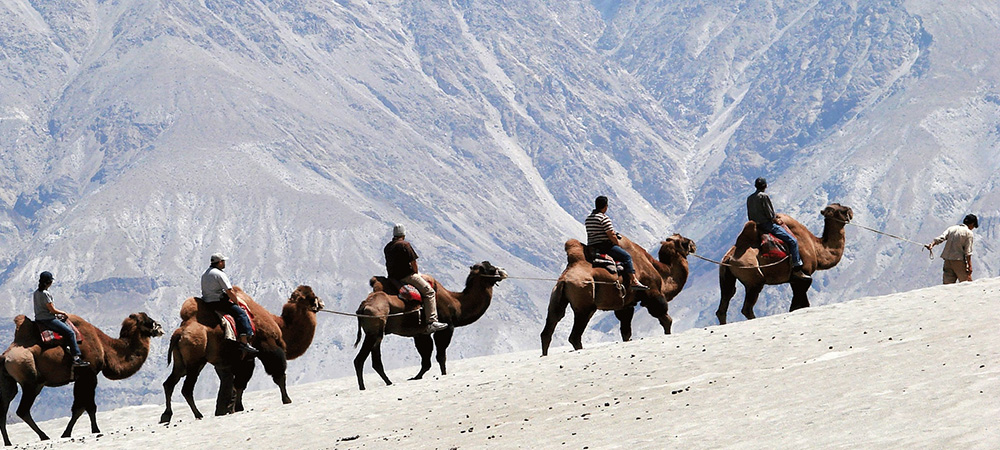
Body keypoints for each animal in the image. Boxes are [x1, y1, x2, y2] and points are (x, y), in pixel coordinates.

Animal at [0, 312, 164, 446]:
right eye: (148, 320)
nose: (160, 328)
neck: (103, 346)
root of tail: (5, 356)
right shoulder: (89, 374)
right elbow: (88, 406)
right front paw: (95, 430)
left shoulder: (80, 378)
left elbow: (78, 408)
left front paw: (66, 433)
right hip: (31, 381)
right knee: (22, 410)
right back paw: (43, 436)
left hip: (10, 383)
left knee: (5, 406)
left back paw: (8, 442)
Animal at [160, 286, 322, 424]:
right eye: (311, 297)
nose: (321, 303)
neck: (280, 325)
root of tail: (180, 331)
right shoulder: (267, 347)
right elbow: (277, 374)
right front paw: (287, 399)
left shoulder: (244, 359)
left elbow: (238, 385)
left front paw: (236, 408)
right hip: (195, 361)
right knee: (186, 388)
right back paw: (198, 414)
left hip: (180, 362)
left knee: (169, 383)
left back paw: (166, 416)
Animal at [354, 262, 508, 388]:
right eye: (491, 269)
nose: (504, 271)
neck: (456, 303)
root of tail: (363, 306)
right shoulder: (447, 327)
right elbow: (441, 356)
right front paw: (443, 374)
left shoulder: (421, 333)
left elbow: (426, 360)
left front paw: (415, 377)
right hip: (373, 331)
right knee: (359, 360)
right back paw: (364, 387)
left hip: (377, 333)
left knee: (375, 361)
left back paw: (388, 382)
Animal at [540, 234, 696, 356]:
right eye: (683, 240)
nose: (693, 244)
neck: (662, 274)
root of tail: (565, 277)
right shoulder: (652, 294)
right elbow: (666, 319)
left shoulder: (625, 305)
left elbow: (626, 332)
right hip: (584, 302)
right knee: (575, 335)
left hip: (557, 298)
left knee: (550, 326)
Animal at [716, 203, 856, 324]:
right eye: (839, 210)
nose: (850, 210)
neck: (816, 248)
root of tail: (729, 257)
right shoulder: (804, 275)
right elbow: (800, 304)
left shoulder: (793, 279)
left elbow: (798, 305)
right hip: (753, 279)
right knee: (747, 307)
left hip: (726, 276)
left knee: (725, 302)